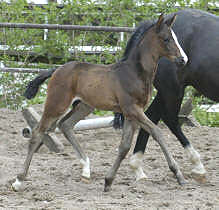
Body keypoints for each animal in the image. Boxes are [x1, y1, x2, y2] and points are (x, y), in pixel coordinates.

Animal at [12, 13, 188, 192]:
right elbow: (157, 132)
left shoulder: (131, 114)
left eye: (176, 38)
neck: (135, 73)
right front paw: (178, 175)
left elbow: (124, 146)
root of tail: (56, 69)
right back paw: (18, 181)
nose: (183, 59)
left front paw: (108, 180)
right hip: (57, 104)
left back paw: (86, 169)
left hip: (84, 106)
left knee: (65, 125)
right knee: (38, 133)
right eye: (166, 39)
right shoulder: (133, 109)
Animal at [114, 8, 219, 182]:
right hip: (173, 89)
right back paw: (197, 165)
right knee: (170, 120)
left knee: (152, 117)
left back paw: (137, 167)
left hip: (166, 91)